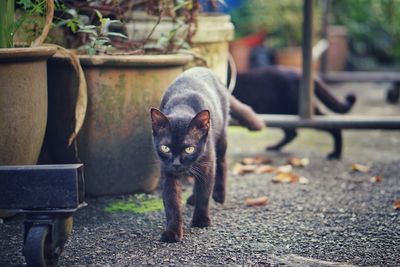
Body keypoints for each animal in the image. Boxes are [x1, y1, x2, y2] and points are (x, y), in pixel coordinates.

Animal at [150, 66, 262, 243]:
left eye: (189, 149)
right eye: (165, 148)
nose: (176, 163)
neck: (182, 107)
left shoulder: (207, 164)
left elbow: (204, 194)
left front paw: (201, 220)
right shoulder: (167, 173)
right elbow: (172, 203)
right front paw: (172, 231)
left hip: (221, 139)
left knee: (222, 164)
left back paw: (219, 194)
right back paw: (192, 197)